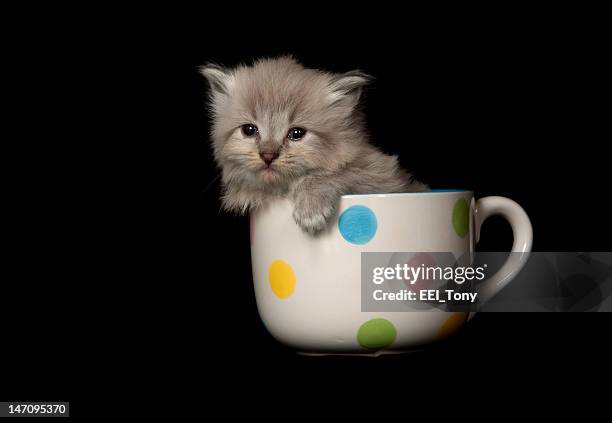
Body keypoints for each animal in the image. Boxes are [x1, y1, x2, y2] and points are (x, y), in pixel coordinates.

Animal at [200, 56, 426, 234]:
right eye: (249, 130)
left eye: (296, 134)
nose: (267, 156)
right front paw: (248, 194)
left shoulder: (387, 176)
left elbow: (337, 173)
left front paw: (310, 207)